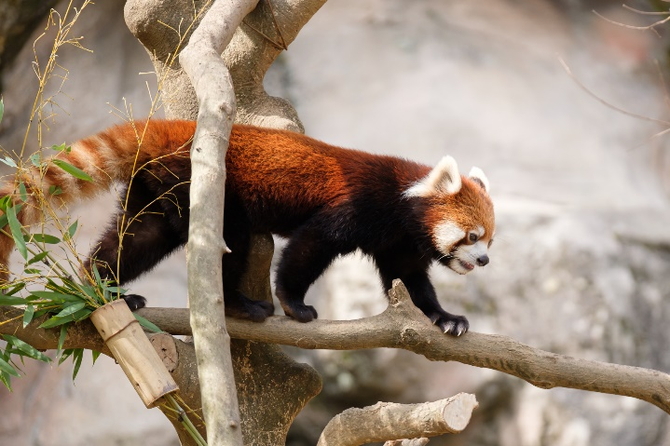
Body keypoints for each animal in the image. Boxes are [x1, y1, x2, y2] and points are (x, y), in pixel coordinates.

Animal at [0, 120, 494, 336]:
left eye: (490, 239)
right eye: (473, 237)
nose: (485, 259)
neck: (400, 202)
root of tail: (168, 126)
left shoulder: (398, 242)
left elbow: (412, 283)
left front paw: (444, 318)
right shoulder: (356, 206)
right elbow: (308, 247)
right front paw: (294, 304)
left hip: (157, 187)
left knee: (139, 238)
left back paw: (100, 288)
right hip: (202, 184)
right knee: (230, 241)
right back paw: (239, 304)